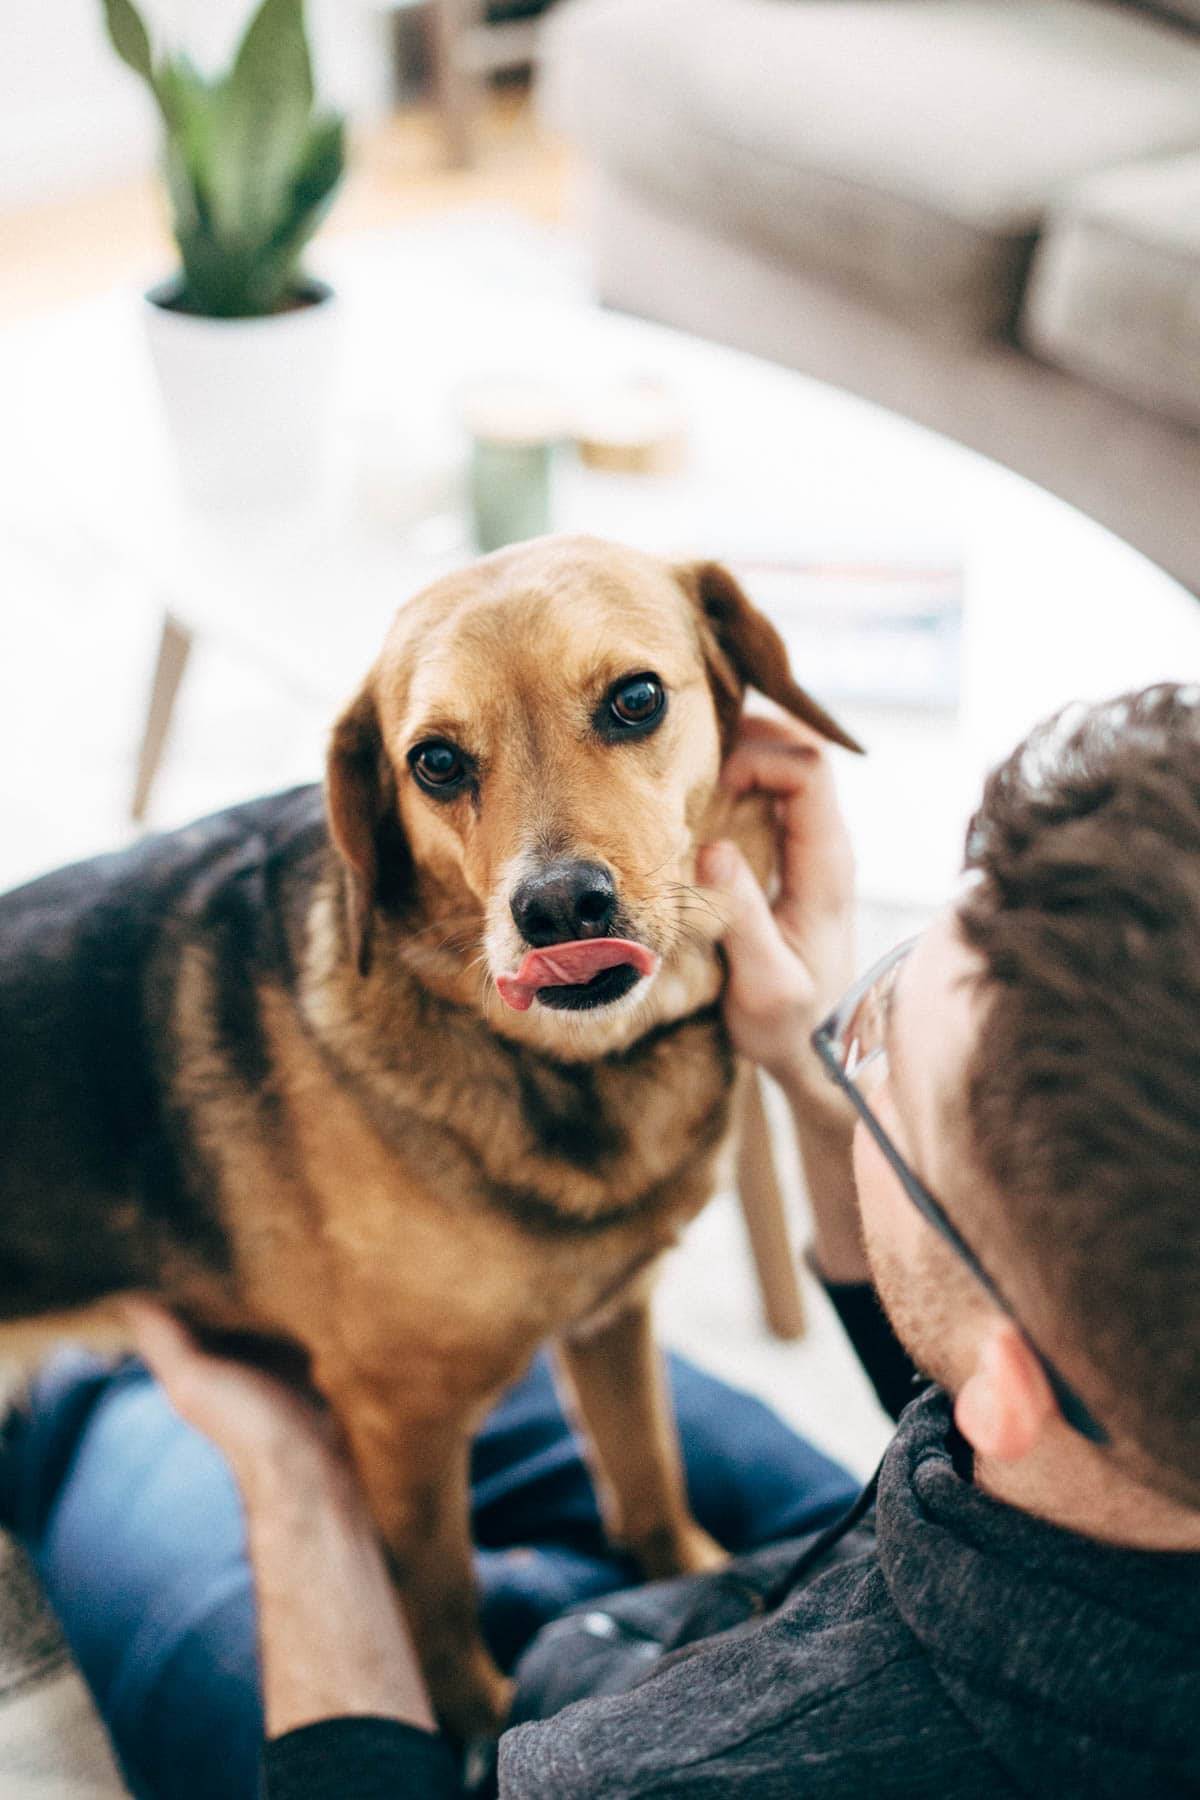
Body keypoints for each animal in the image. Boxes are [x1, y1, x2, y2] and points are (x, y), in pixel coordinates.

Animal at [2, 536, 863, 1742]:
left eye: (638, 699)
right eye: (438, 763)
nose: (556, 912)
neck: (577, 1069)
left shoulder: (613, 1318)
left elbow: (650, 1476)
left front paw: (700, 1571)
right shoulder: (402, 1424)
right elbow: (442, 1599)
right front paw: (475, 1725)